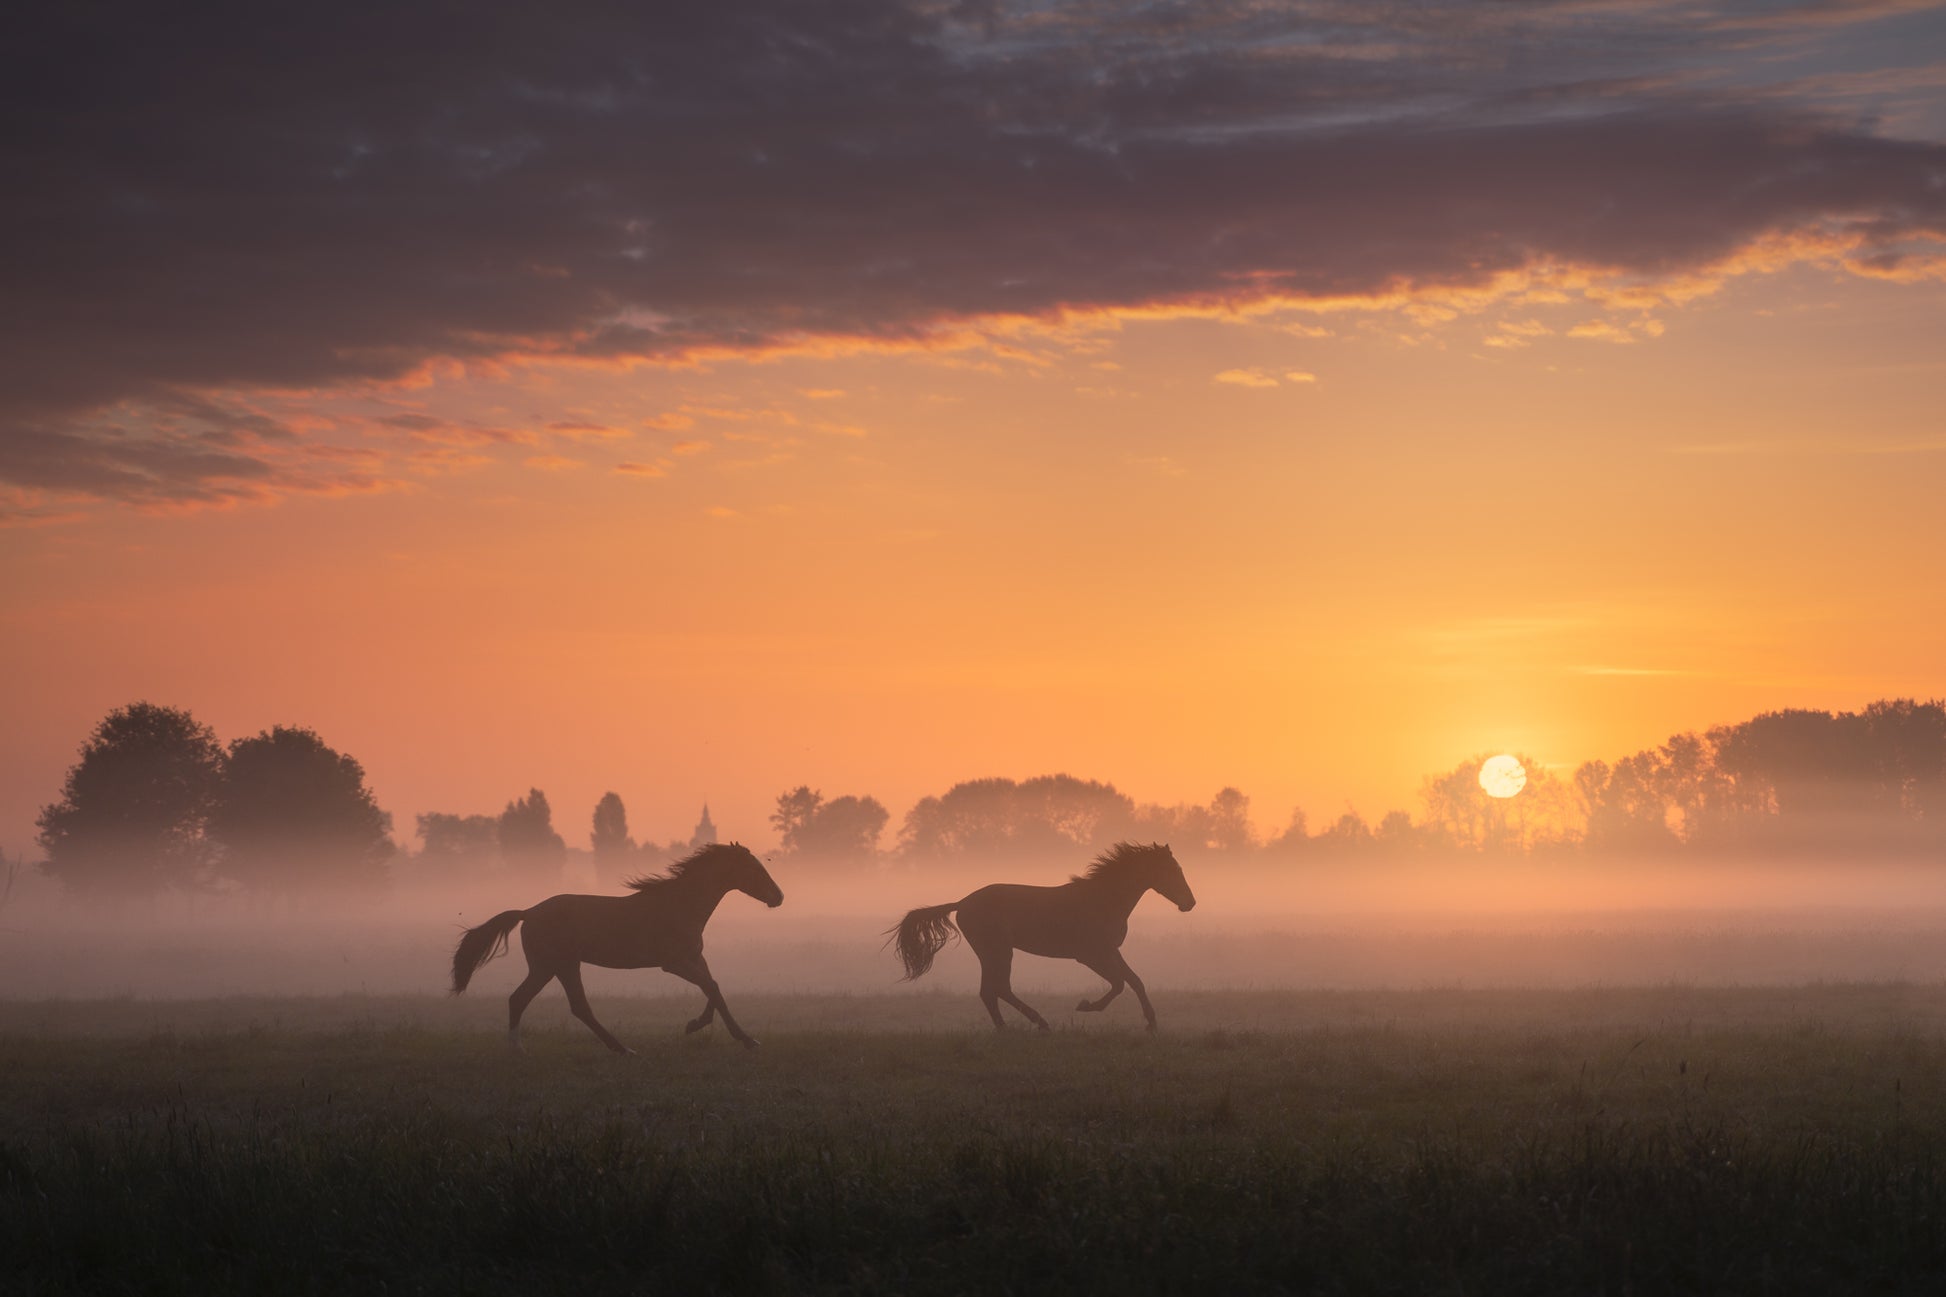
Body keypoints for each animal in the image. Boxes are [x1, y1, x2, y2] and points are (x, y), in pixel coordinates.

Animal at [450, 841, 783, 1053]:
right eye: (754, 869)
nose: (778, 896)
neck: (680, 905)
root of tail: (528, 912)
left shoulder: (695, 957)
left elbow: (714, 988)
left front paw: (695, 1025)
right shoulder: (674, 963)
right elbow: (711, 987)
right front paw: (746, 1039)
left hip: (554, 967)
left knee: (542, 1002)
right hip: (555, 965)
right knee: (546, 1002)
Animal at [888, 841, 1195, 1031]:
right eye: (1172, 870)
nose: (1190, 903)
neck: (1103, 899)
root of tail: (962, 903)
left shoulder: (1111, 950)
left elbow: (1135, 981)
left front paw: (1152, 1024)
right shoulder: (1090, 955)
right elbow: (1119, 983)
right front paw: (1085, 1006)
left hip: (994, 952)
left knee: (991, 991)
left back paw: (1011, 1028)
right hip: (998, 951)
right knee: (997, 988)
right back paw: (1036, 1023)